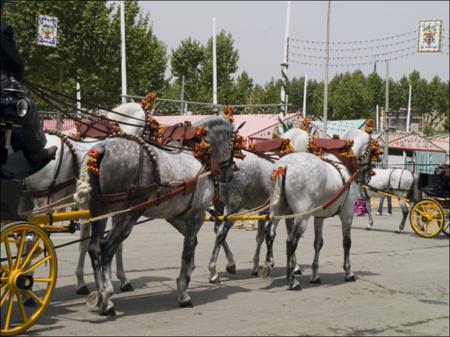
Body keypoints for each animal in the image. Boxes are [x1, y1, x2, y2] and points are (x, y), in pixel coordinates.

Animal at [74, 116, 234, 316]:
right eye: (232, 142)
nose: (230, 173)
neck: (199, 154)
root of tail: (101, 147)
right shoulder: (196, 215)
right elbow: (187, 251)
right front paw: (183, 292)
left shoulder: (175, 216)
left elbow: (193, 245)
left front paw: (187, 277)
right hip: (129, 215)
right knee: (107, 248)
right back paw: (107, 295)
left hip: (101, 210)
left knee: (94, 248)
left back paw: (103, 298)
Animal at [268, 127, 378, 288]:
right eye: (373, 150)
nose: (370, 174)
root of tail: (284, 166)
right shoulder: (347, 214)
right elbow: (347, 242)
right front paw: (348, 272)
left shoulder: (319, 217)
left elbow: (318, 243)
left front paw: (315, 275)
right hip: (302, 217)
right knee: (291, 242)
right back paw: (292, 280)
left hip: (278, 210)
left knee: (270, 234)